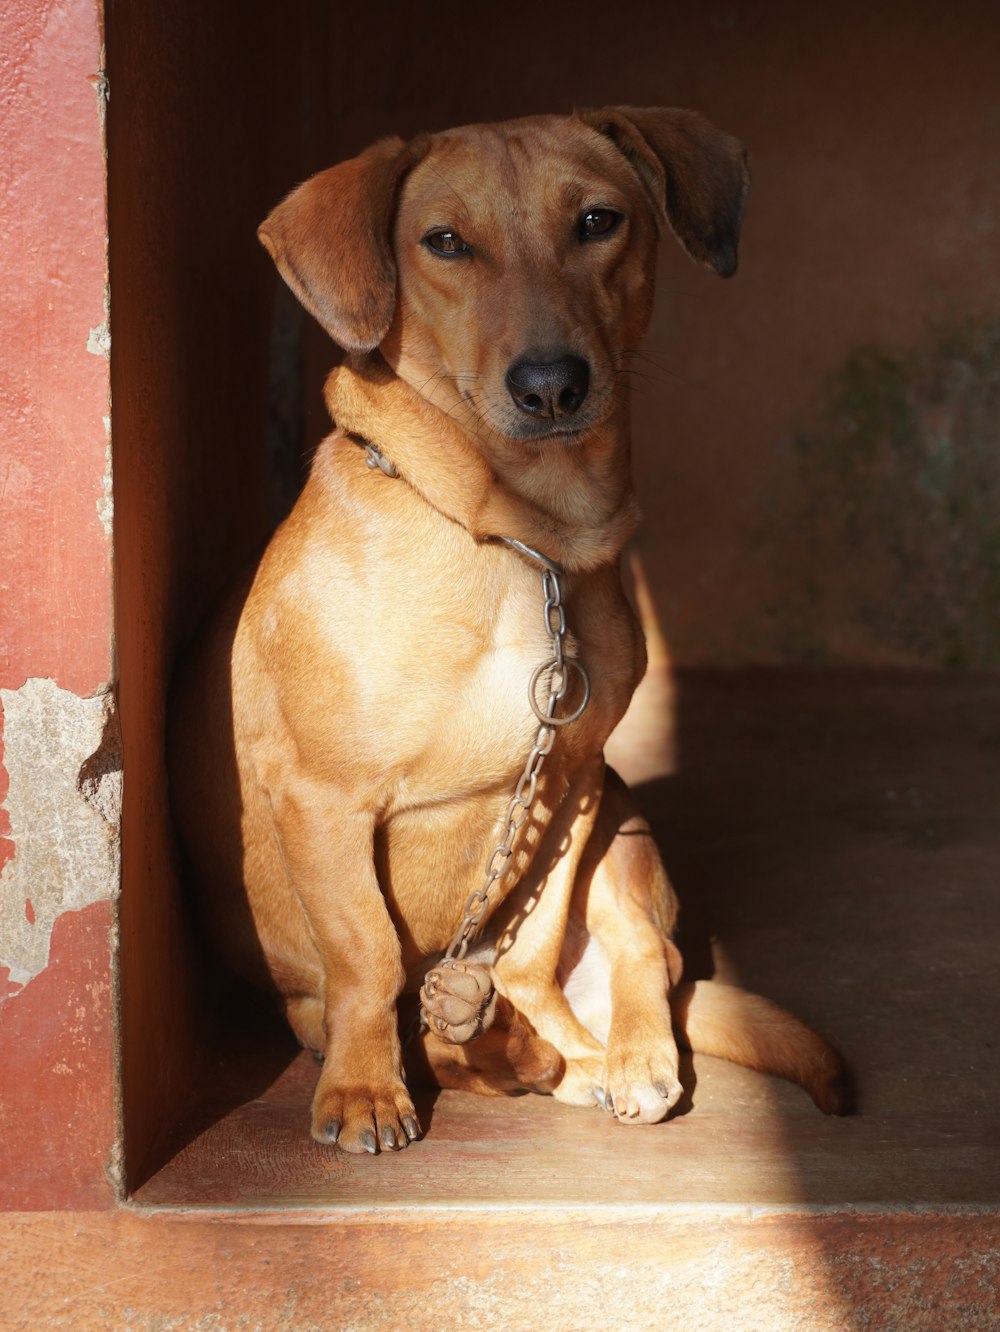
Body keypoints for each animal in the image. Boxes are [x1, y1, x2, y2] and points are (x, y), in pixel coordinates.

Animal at [168, 111, 846, 1156]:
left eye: (598, 220)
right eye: (445, 242)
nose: (552, 385)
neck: (523, 542)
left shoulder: (571, 778)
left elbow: (528, 942)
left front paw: (540, 1036)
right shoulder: (323, 798)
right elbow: (367, 952)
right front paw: (364, 1090)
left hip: (628, 824)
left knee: (642, 962)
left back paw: (600, 1053)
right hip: (314, 1003)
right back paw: (493, 1045)